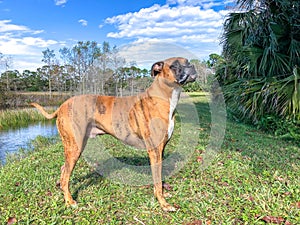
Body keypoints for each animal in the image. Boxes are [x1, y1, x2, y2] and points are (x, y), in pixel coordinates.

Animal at [31, 57, 197, 212]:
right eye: (174, 65)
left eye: (187, 61)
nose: (191, 66)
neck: (163, 96)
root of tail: (61, 106)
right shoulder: (155, 151)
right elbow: (157, 178)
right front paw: (163, 204)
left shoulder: (160, 150)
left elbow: (159, 177)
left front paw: (162, 193)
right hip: (75, 147)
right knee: (66, 175)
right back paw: (69, 201)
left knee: (63, 170)